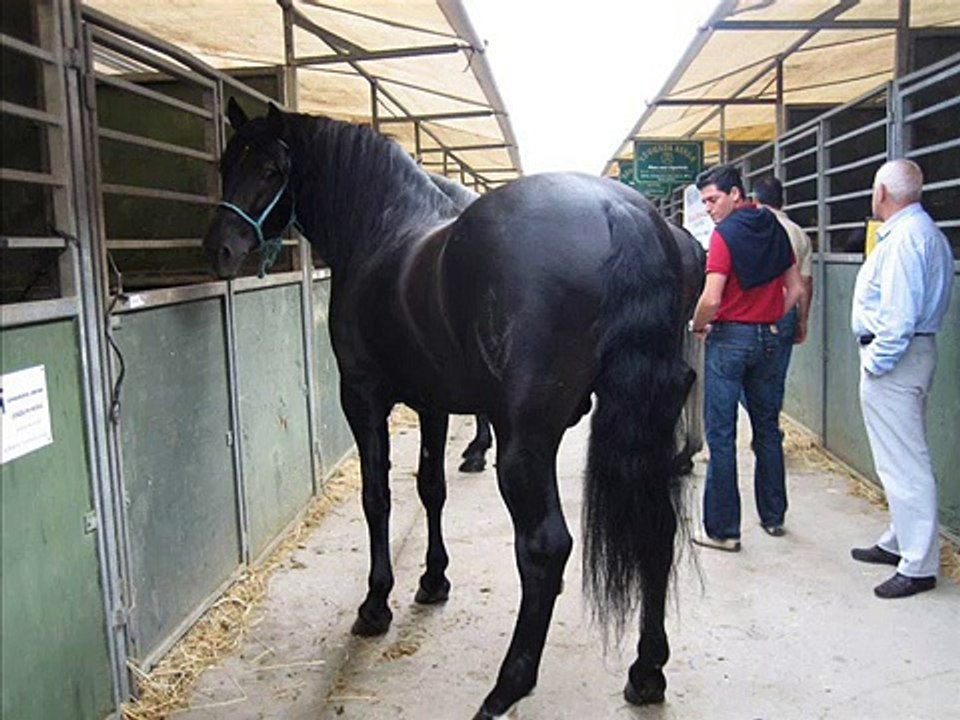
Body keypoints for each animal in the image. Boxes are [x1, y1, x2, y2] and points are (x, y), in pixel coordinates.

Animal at [205, 99, 699, 719]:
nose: (218, 249)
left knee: (544, 549)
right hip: (647, 421)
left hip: (526, 440)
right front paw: (433, 580)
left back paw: (506, 687)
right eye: (227, 164)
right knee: (656, 526)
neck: (384, 228)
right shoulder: (433, 403)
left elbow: (378, 496)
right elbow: (430, 487)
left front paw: (376, 604)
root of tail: (619, 209)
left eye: (272, 169)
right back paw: (647, 670)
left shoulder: (362, 396)